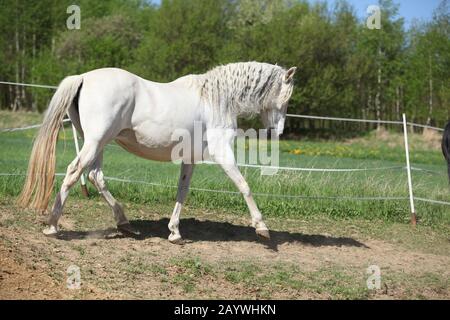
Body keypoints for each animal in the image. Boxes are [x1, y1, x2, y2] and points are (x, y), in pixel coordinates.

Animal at [19, 61, 298, 244]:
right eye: (285, 97)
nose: (277, 131)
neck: (215, 99)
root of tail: (84, 77)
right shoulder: (222, 154)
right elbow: (244, 186)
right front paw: (261, 227)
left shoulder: (190, 160)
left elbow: (182, 192)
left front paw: (174, 232)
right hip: (95, 141)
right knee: (74, 172)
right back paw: (52, 226)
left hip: (97, 143)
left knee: (95, 176)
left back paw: (125, 224)